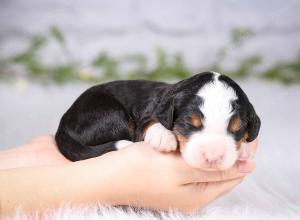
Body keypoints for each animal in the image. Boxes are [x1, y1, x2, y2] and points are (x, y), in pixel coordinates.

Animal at [55, 71, 260, 171]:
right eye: (189, 124)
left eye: (237, 128)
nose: (213, 157)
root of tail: (62, 124)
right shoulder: (147, 116)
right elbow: (151, 123)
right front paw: (164, 137)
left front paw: (244, 149)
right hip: (111, 115)